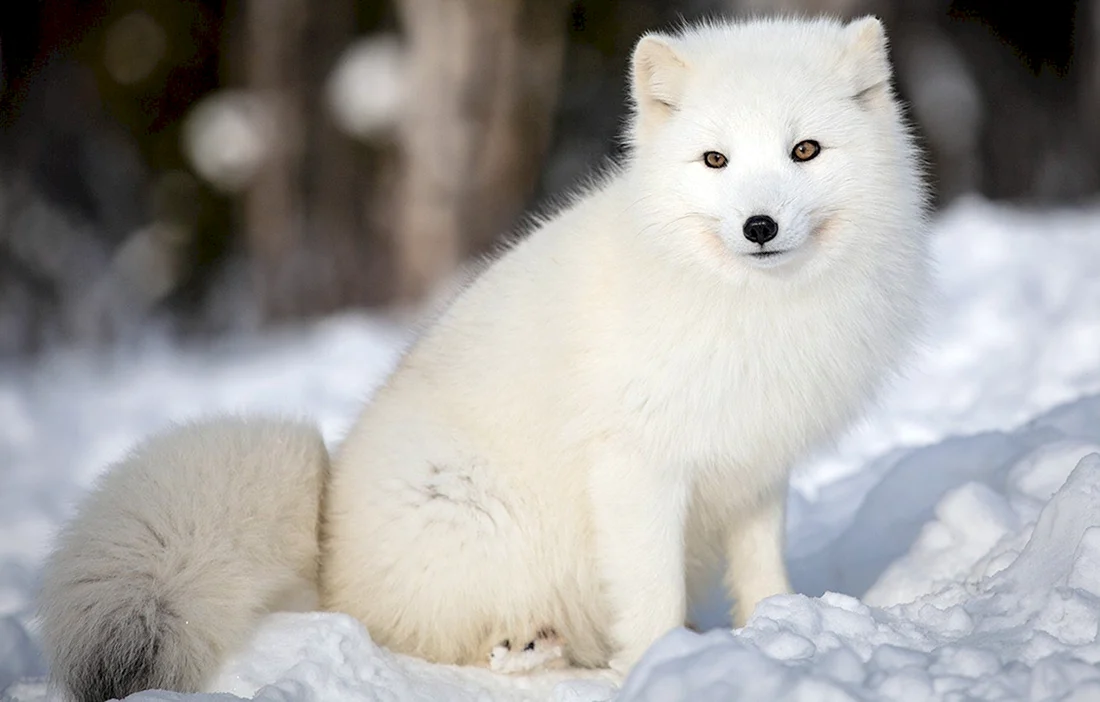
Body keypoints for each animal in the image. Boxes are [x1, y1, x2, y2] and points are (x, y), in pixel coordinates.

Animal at [34, 12, 928, 702]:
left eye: (805, 151)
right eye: (716, 161)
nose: (759, 226)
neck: (748, 307)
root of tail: (324, 550)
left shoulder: (755, 464)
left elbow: (764, 569)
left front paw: (776, 632)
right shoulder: (636, 469)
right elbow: (649, 592)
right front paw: (664, 664)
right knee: (438, 642)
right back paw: (534, 650)